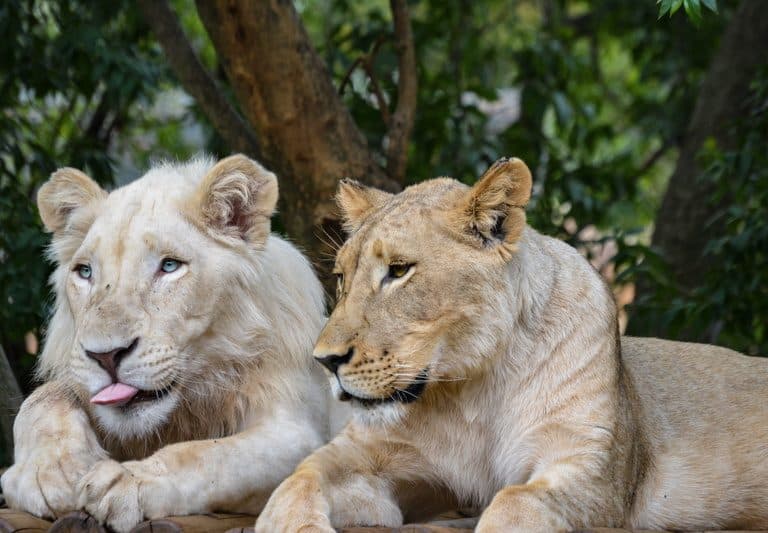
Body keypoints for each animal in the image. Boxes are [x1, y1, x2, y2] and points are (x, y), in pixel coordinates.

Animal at [3, 152, 332, 528]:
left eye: (170, 266)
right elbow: (42, 398)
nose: (105, 356)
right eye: (85, 272)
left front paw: (127, 481)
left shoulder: (301, 432)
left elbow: (207, 455)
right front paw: (50, 472)